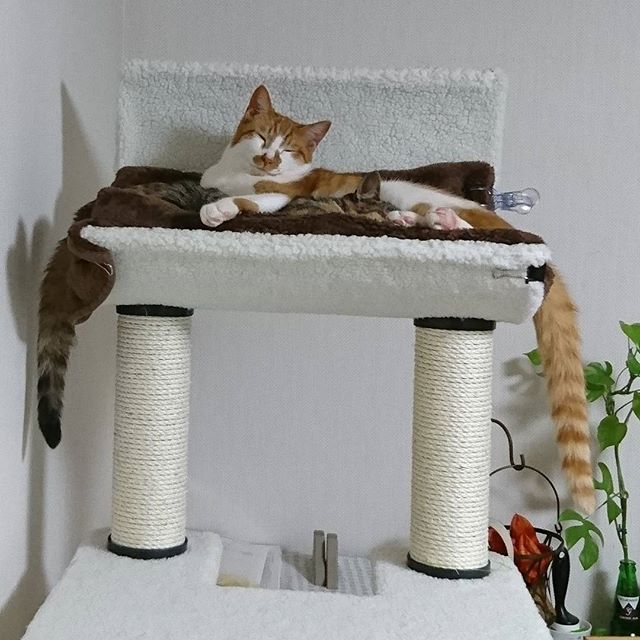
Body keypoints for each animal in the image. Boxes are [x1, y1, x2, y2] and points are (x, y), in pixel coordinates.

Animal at [198, 85, 595, 513]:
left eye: (287, 150)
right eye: (262, 137)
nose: (269, 159)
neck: (239, 173)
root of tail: (501, 219)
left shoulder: (281, 196)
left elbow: (253, 201)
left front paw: (218, 208)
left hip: (403, 190)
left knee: (453, 224)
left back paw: (436, 219)